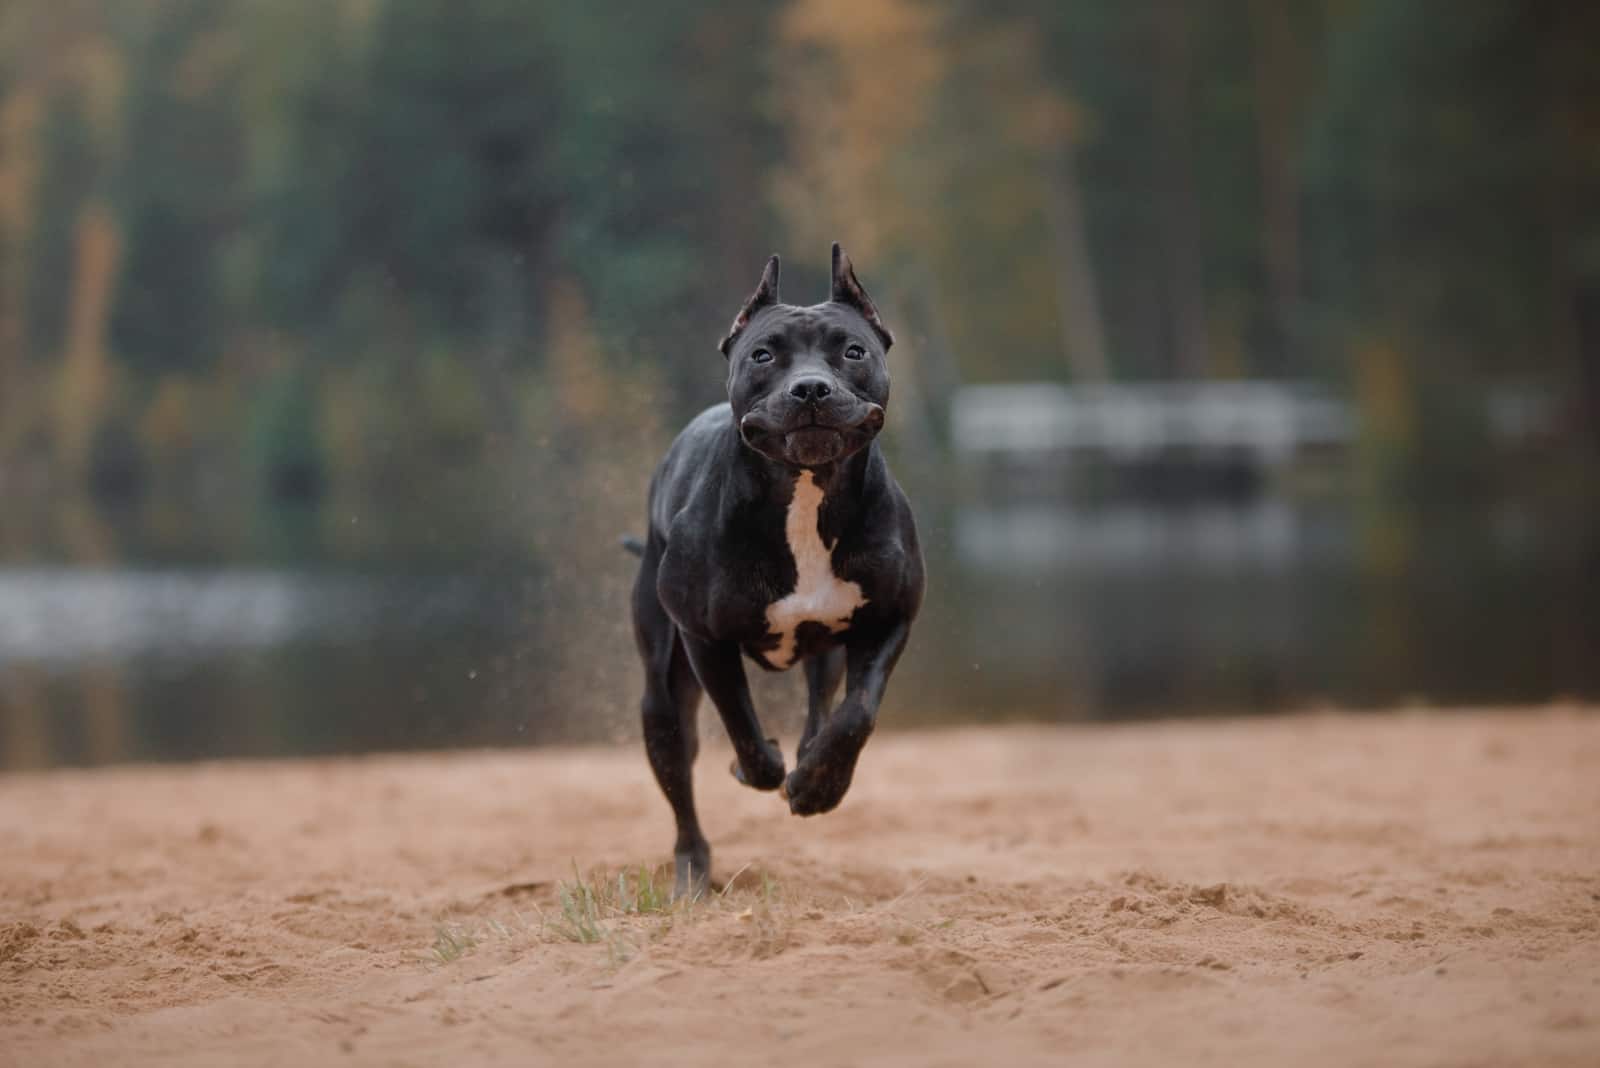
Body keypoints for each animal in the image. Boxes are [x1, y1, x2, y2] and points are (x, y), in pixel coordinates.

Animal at [624, 246, 928, 895]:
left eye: (853, 351)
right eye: (763, 355)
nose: (810, 387)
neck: (805, 493)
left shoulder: (889, 619)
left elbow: (856, 714)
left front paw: (818, 786)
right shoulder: (704, 638)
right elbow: (739, 717)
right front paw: (758, 766)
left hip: (827, 651)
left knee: (822, 706)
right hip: (661, 696)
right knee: (680, 780)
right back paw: (692, 871)